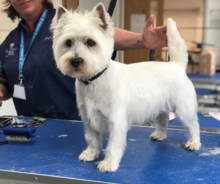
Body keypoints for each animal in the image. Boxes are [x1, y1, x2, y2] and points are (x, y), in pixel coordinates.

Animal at [51, 3, 201, 172]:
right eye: (68, 42)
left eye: (90, 42)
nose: (75, 61)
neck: (95, 80)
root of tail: (176, 64)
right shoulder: (88, 119)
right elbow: (92, 139)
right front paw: (91, 154)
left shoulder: (116, 121)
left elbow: (112, 145)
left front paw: (108, 163)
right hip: (160, 106)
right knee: (163, 120)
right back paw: (159, 135)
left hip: (183, 108)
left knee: (193, 124)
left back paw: (194, 143)